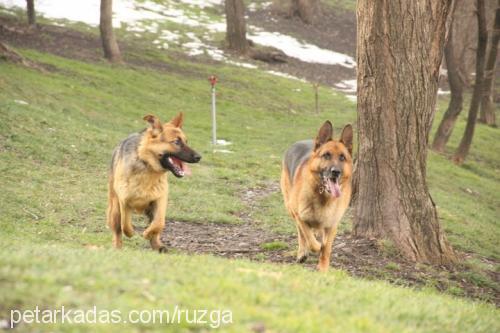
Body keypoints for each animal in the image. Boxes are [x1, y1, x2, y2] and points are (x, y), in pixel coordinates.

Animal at [106, 113, 200, 250]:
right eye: (176, 142)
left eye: (186, 141)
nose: (199, 157)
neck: (147, 165)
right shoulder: (124, 200)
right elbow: (125, 224)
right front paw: (131, 232)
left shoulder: (160, 199)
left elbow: (159, 223)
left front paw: (147, 233)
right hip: (114, 208)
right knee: (118, 229)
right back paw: (117, 246)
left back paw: (158, 245)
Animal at [280, 120, 354, 272]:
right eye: (326, 155)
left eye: (342, 157)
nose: (335, 172)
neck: (323, 197)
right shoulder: (299, 216)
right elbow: (311, 240)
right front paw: (314, 247)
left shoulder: (332, 225)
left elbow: (326, 249)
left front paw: (323, 268)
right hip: (290, 208)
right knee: (301, 233)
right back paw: (302, 252)